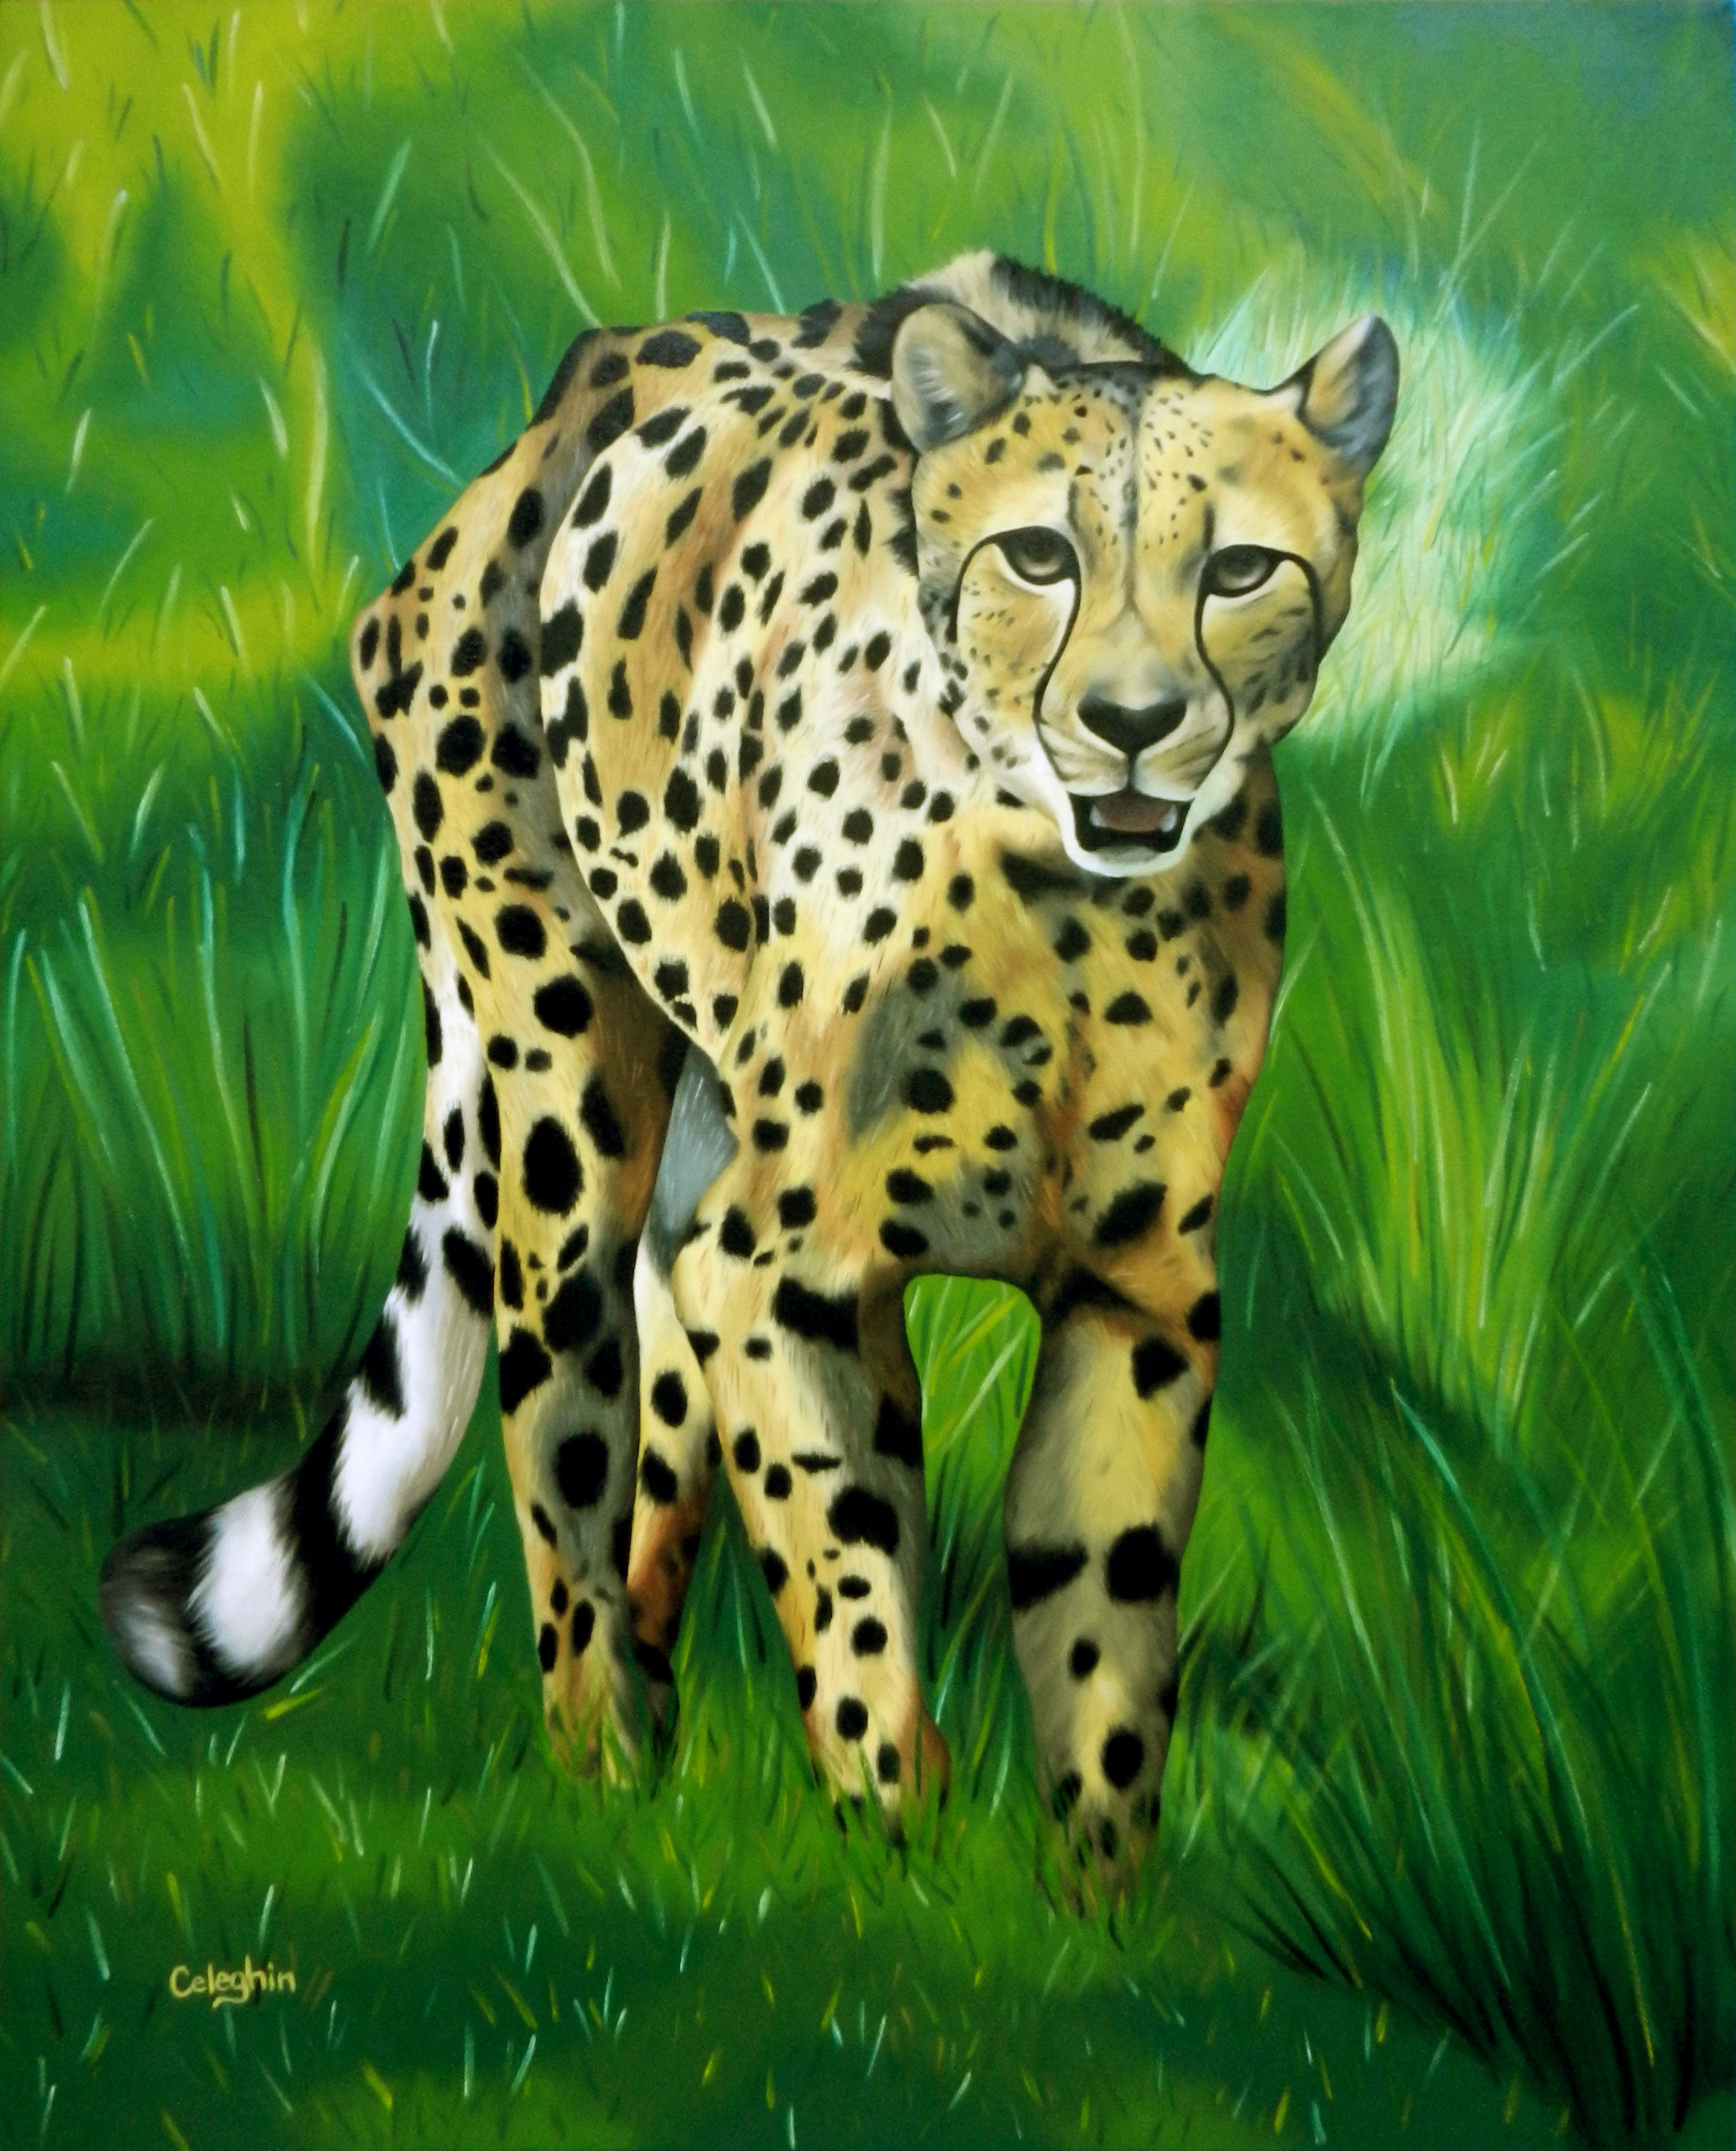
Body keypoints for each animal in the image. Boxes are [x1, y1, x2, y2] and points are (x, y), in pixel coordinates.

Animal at [101, 253, 1396, 1877]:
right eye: (1038, 555)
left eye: (1239, 572)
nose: (1131, 725)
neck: (1066, 912)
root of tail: (566, 397)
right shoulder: (786, 1267)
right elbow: (846, 1563)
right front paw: (894, 1844)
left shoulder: (1139, 1289)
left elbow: (1103, 1615)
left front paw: (1098, 1896)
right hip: (563, 1107)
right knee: (566, 1429)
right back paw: (601, 1759)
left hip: (703, 1145)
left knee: (666, 1422)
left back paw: (663, 1732)